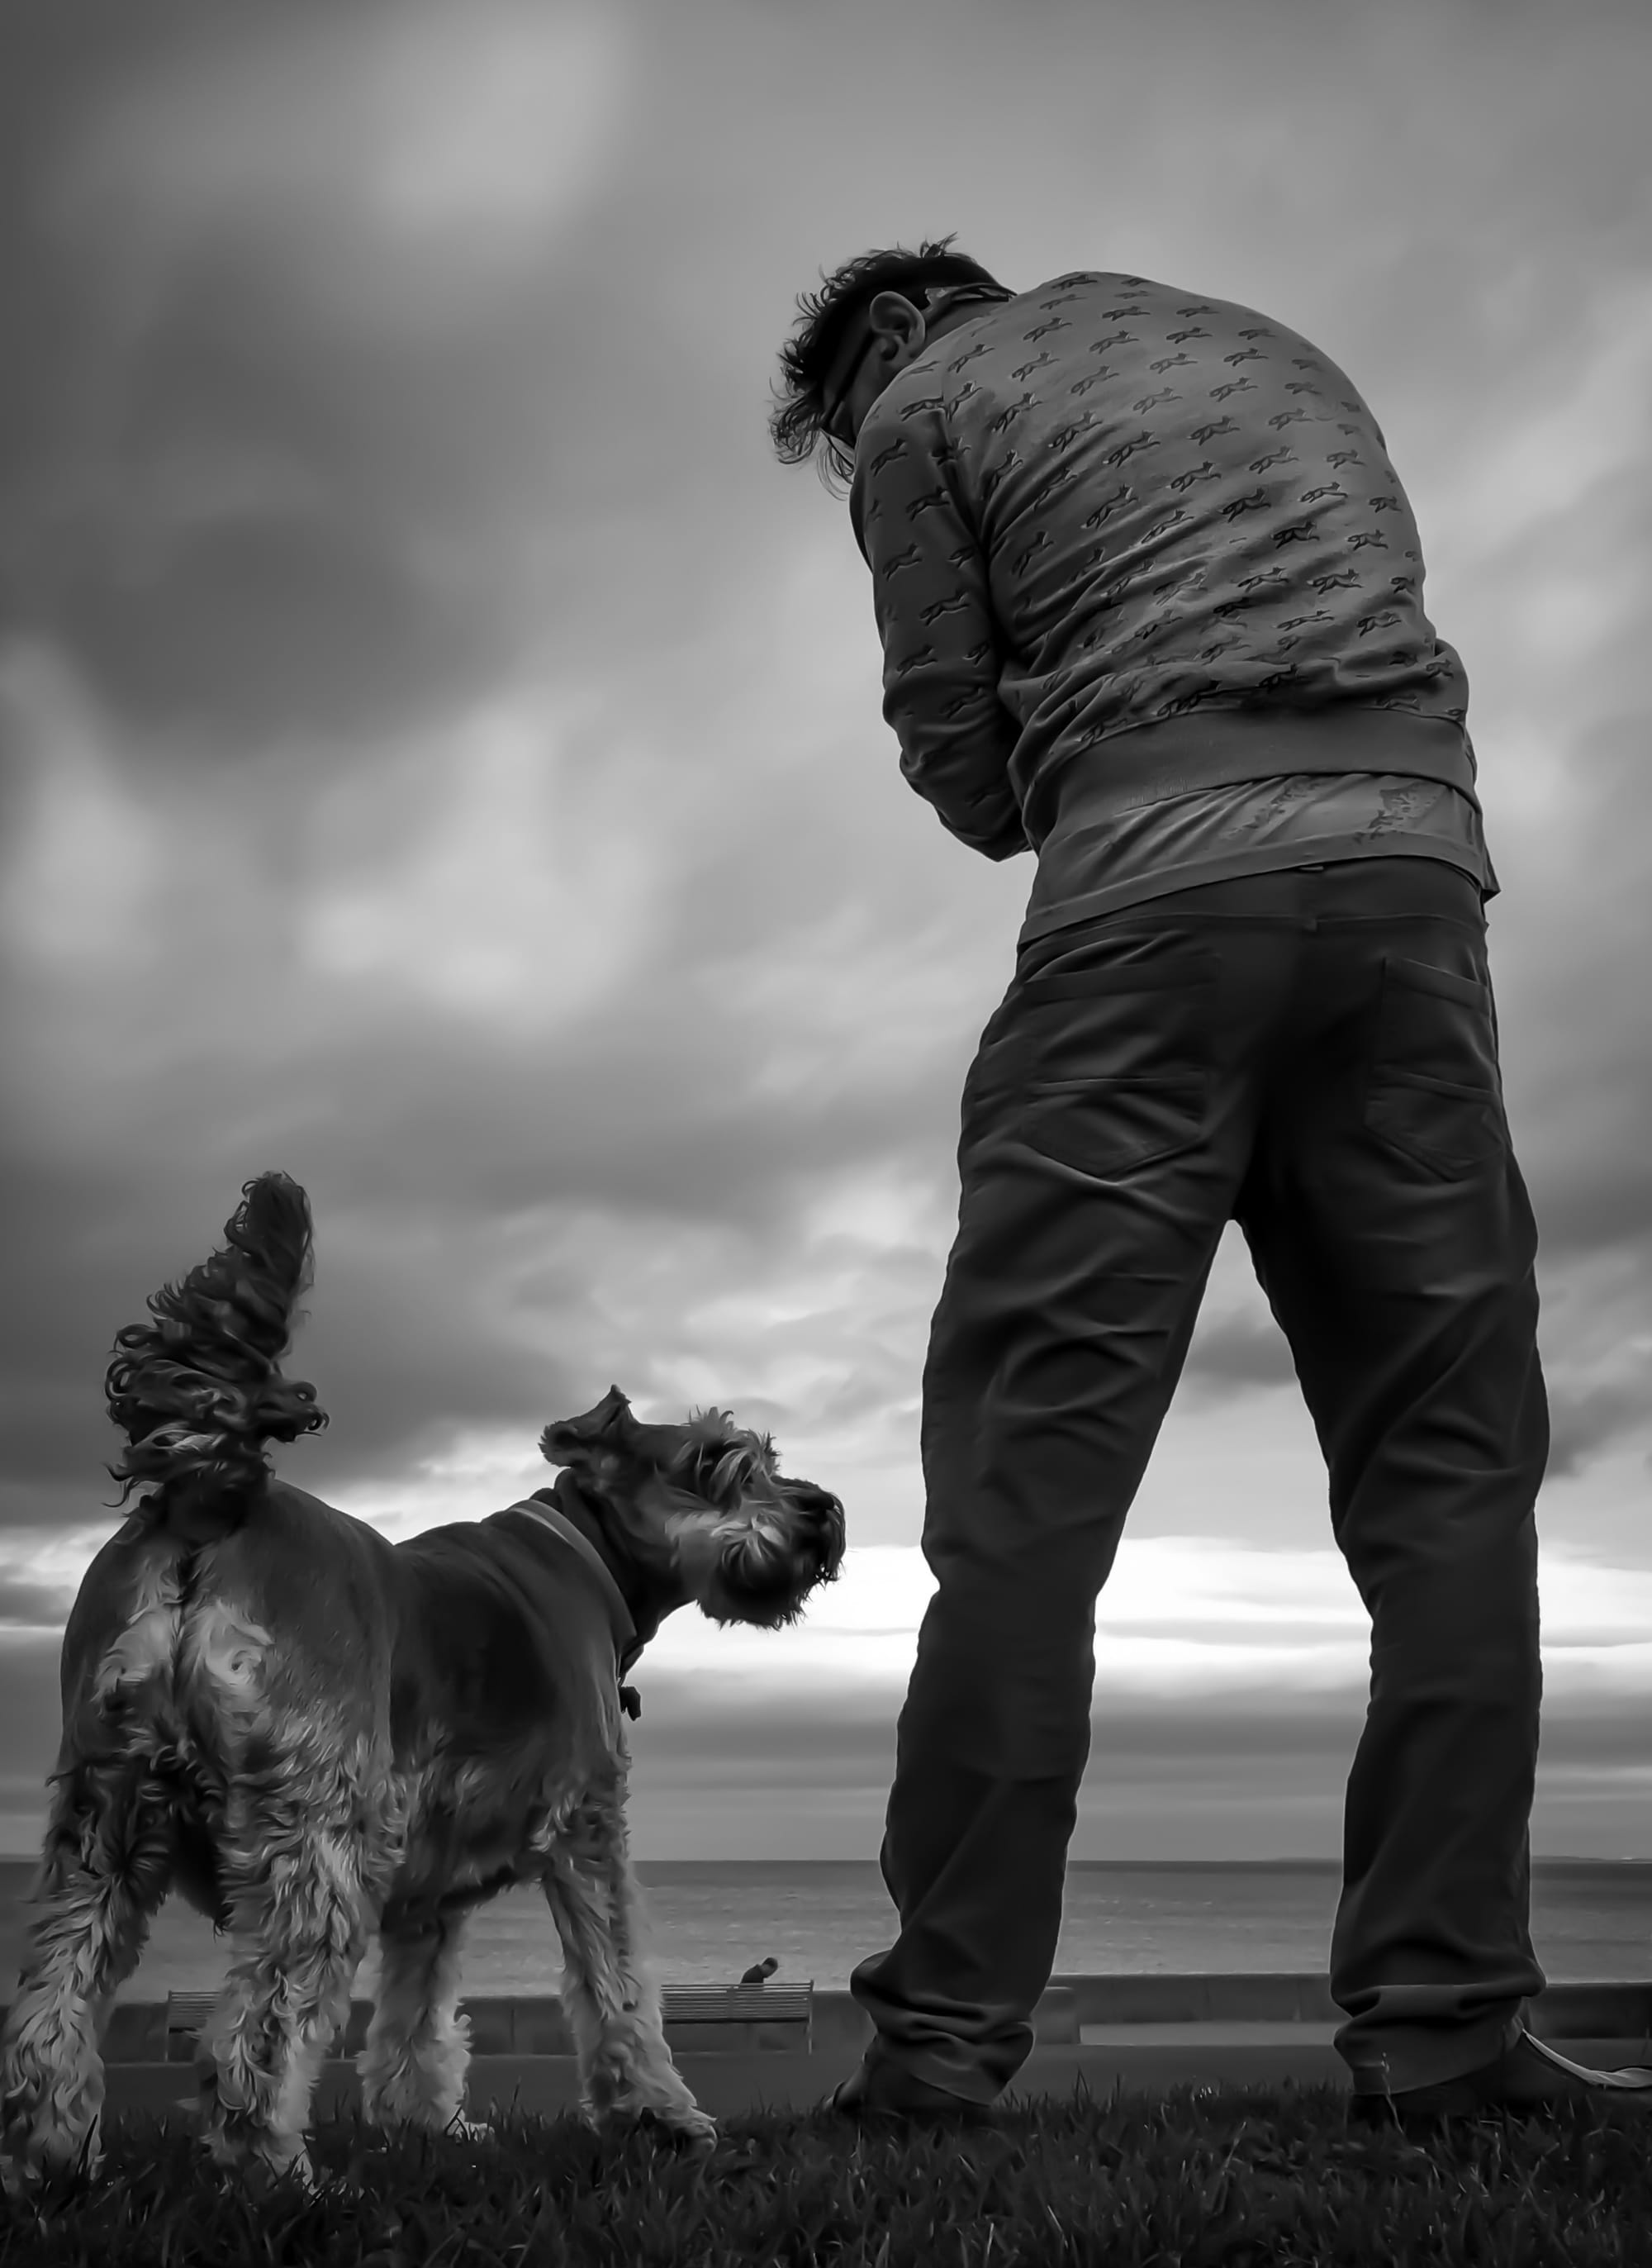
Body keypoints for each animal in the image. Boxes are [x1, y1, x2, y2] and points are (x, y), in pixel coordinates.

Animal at [0, 1179, 843, 2186]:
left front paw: (426, 2124)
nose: (826, 1512)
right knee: (257, 2023)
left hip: (104, 1813)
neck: (587, 1553)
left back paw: (55, 2160)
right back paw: (277, 2172)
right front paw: (660, 2117)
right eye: (715, 1461)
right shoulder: (589, 1826)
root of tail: (211, 1496)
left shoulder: (430, 1891)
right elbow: (618, 1983)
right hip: (315, 1828)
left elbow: (418, 2011)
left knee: (51, 2007)